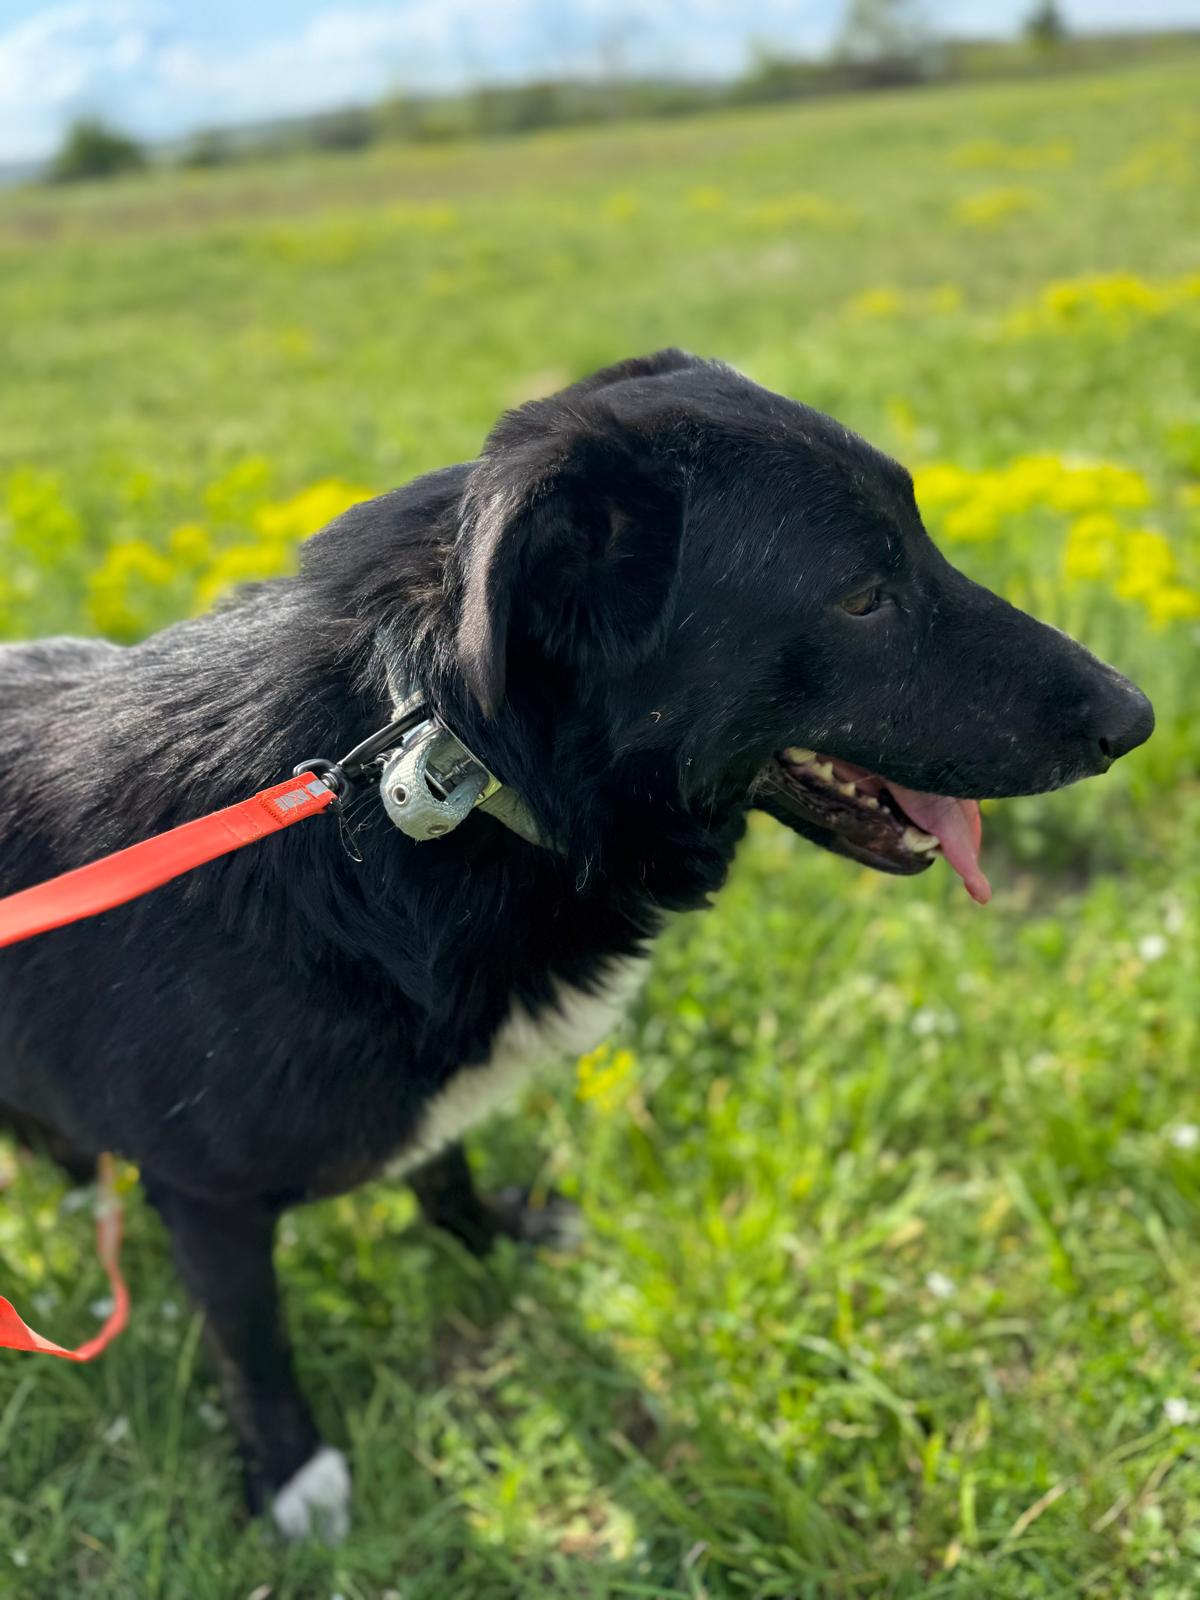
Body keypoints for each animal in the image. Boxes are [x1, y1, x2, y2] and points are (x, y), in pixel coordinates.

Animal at [0, 350, 1153, 1539]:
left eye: (921, 541)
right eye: (861, 597)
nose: (1141, 717)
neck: (429, 769)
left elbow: (443, 1158)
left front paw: (486, 1232)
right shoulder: (206, 1196)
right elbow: (255, 1343)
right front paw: (293, 1475)